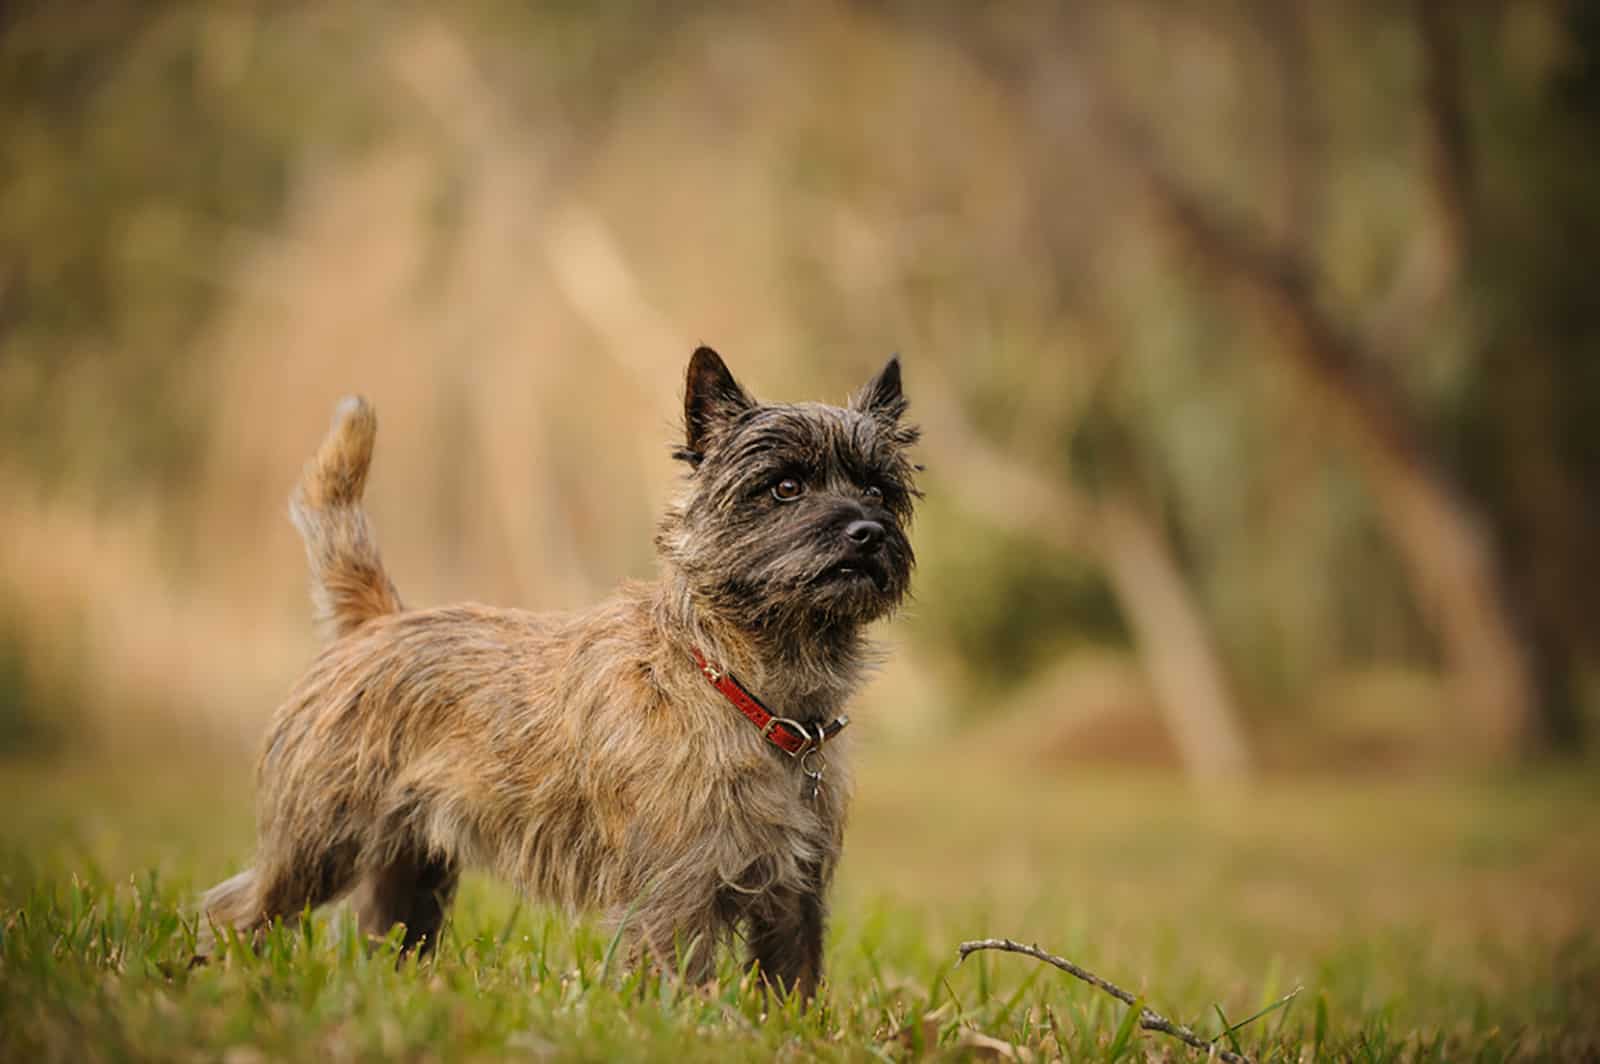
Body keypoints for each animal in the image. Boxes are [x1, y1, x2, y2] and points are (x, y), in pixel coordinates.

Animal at [203, 347, 915, 998]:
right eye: (785, 487)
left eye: (879, 490)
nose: (867, 531)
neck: (750, 690)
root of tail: (377, 621)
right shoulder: (674, 896)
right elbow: (675, 984)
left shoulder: (796, 896)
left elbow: (793, 986)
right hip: (318, 844)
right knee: (236, 909)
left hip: (411, 870)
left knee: (385, 934)